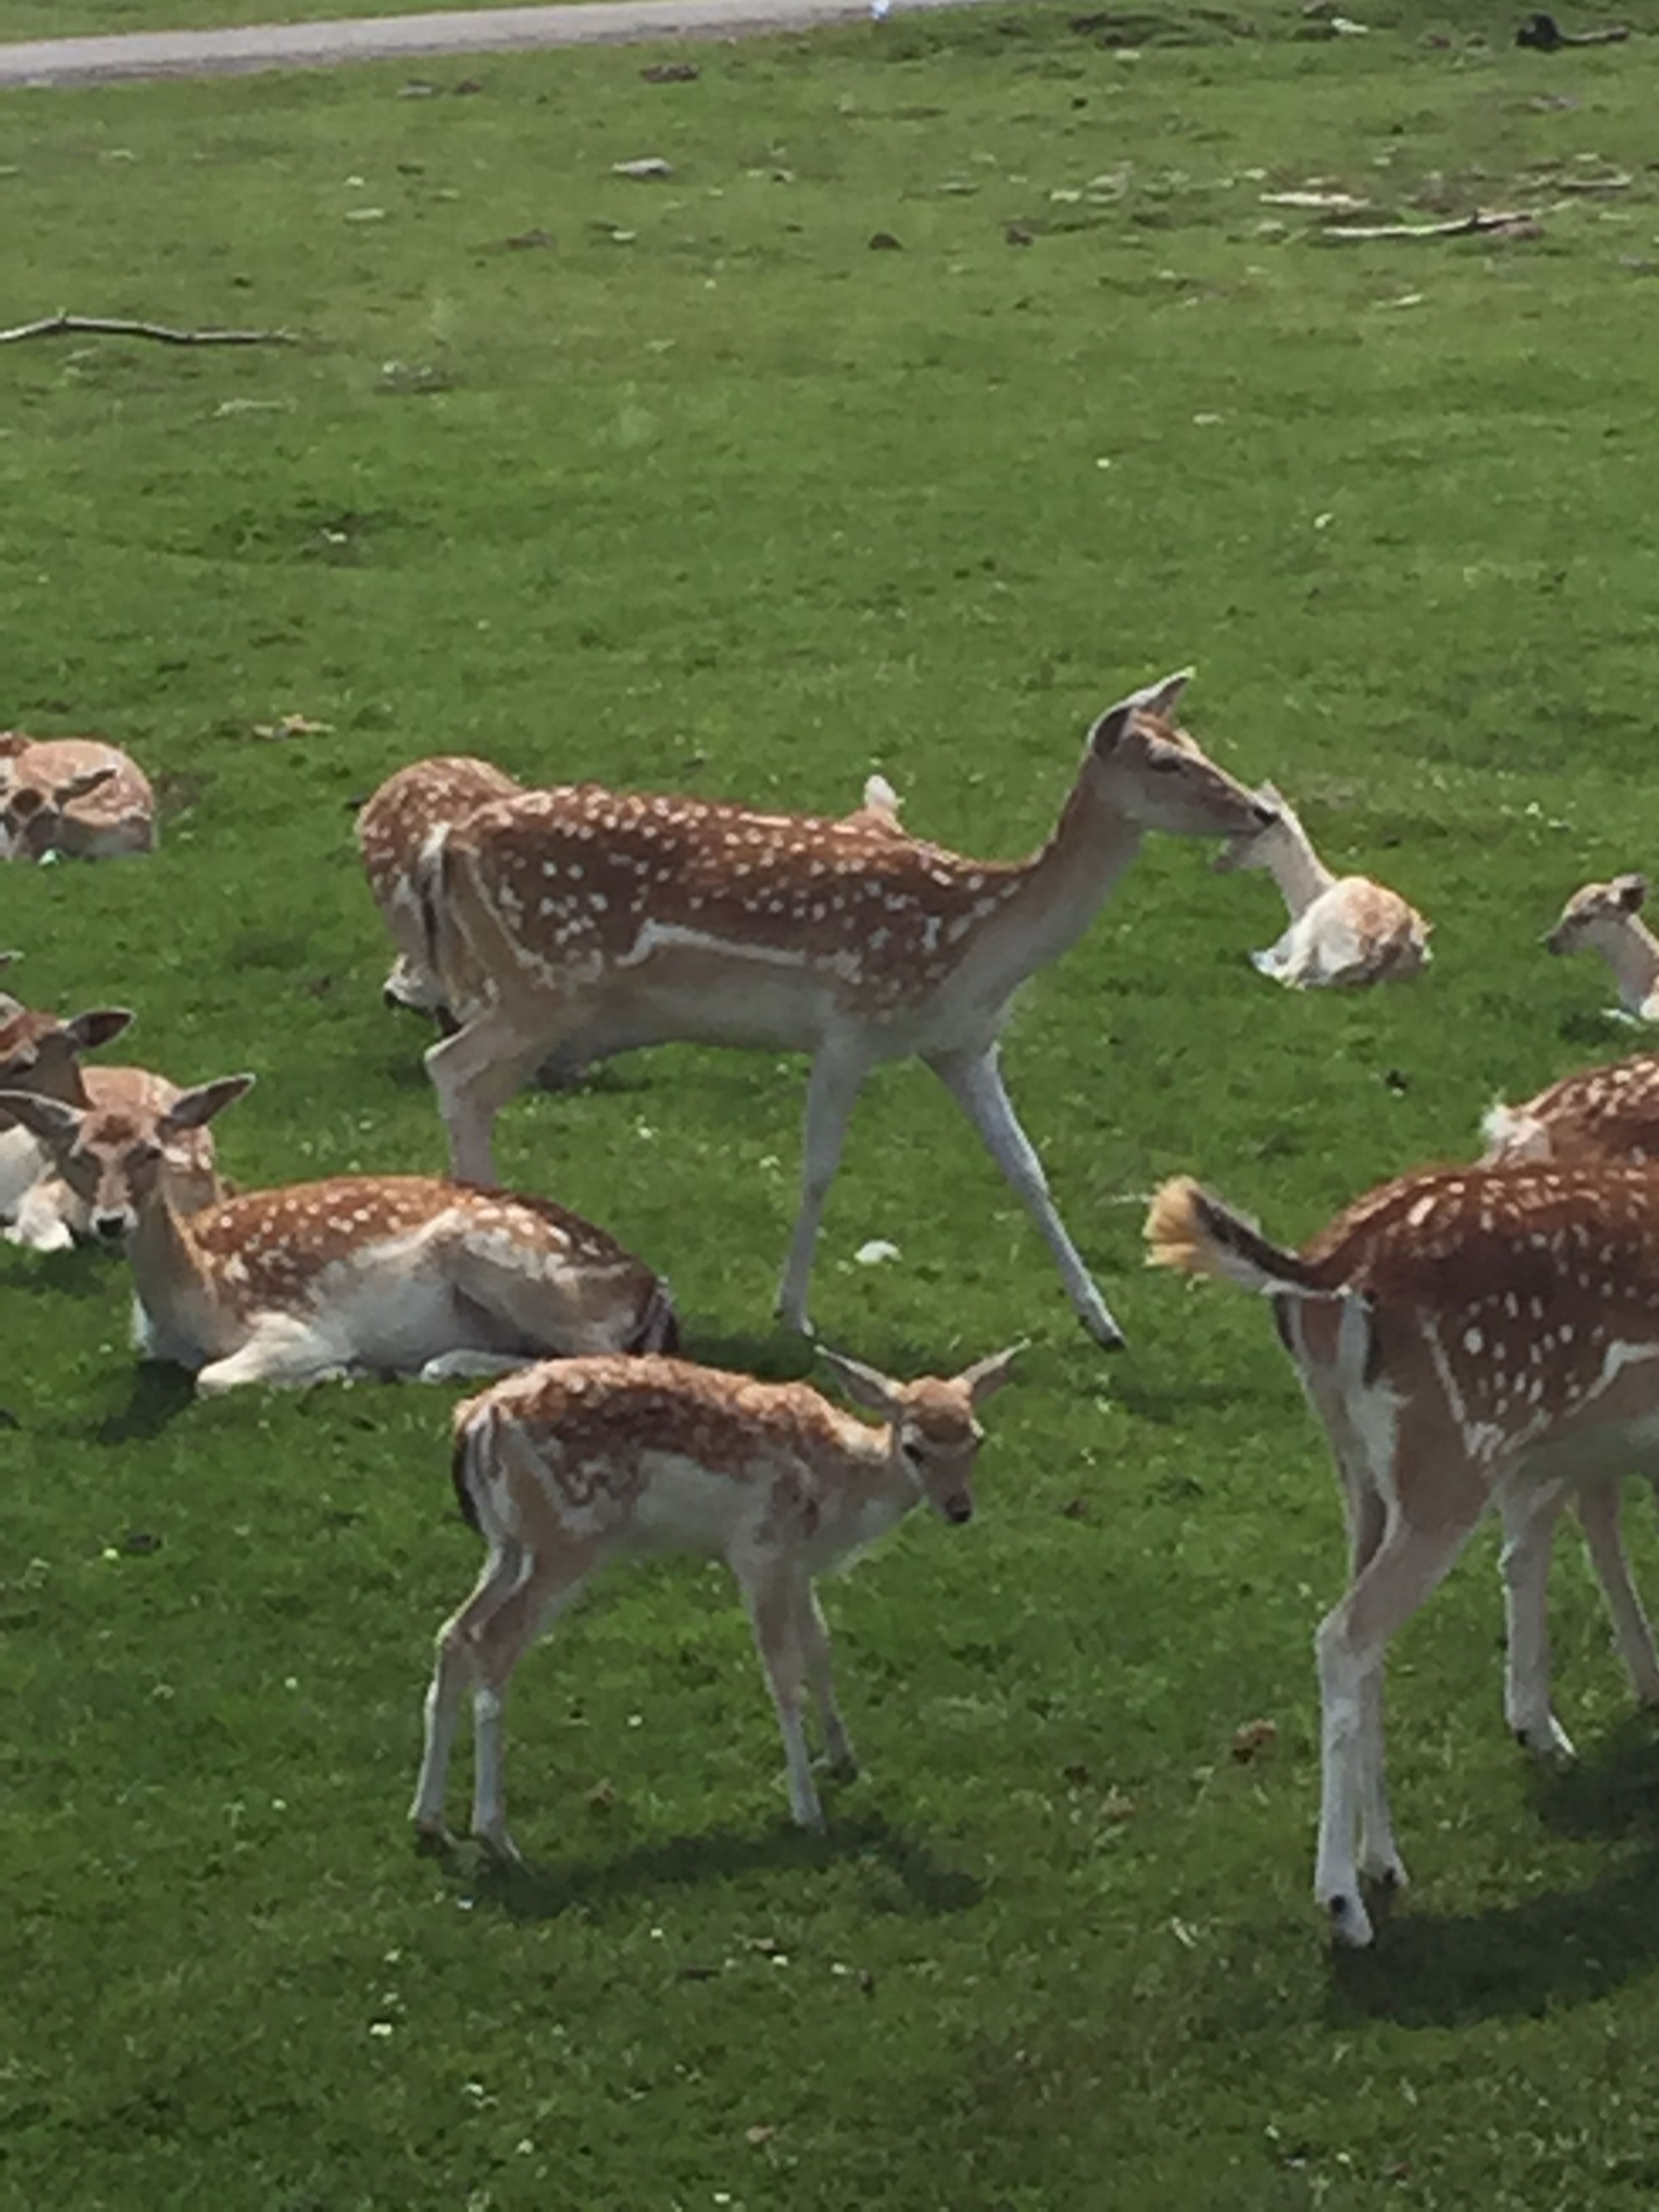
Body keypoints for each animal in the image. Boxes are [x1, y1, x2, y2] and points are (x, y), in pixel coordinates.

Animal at [0, 1076, 678, 1392]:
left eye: (150, 1151)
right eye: (81, 1156)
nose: (112, 1222)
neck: (197, 1303)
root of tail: (651, 1288)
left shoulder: (298, 1327)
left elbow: (212, 1379)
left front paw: (337, 1372)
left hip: (506, 1258)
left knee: (603, 1355)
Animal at [410, 1341, 1019, 1860]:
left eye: (977, 1439)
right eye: (915, 1448)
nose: (959, 1508)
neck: (839, 1495)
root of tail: (473, 1422)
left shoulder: (795, 1564)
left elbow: (820, 1647)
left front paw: (844, 1759)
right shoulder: (758, 1550)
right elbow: (783, 1672)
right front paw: (806, 1808)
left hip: (509, 1544)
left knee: (455, 1634)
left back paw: (430, 1820)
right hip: (568, 1535)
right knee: (494, 1642)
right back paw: (494, 1834)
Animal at [415, 671, 1277, 1349]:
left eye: (1198, 740)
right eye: (1165, 760)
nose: (1263, 811)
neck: (971, 943)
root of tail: (445, 843)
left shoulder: (965, 1045)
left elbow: (1026, 1167)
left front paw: (1103, 1322)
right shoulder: (849, 1024)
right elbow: (820, 1167)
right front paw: (793, 1315)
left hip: (536, 995)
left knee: (469, 1083)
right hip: (544, 982)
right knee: (450, 1069)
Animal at [1146, 1161, 1659, 1945]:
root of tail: (1331, 1265)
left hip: (1361, 1474)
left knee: (1366, 1641)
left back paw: (1382, 1862)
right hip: (1446, 1461)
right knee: (1344, 1634)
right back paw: (1341, 1900)